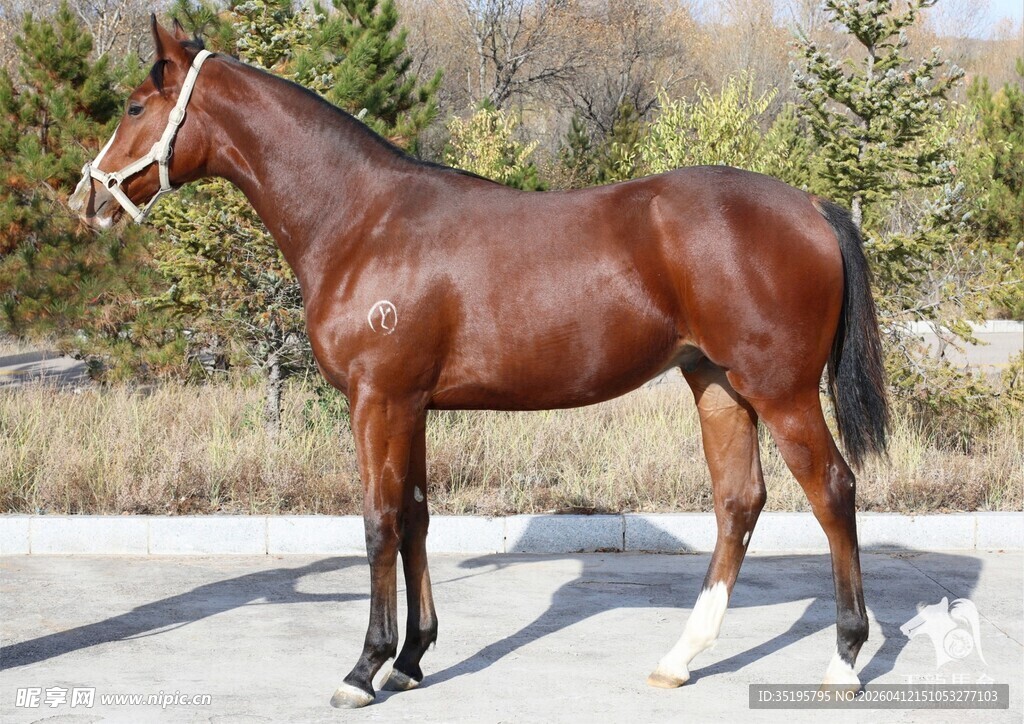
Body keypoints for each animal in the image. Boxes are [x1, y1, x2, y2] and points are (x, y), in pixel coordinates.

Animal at [69, 18, 889, 709]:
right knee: (738, 503)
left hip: (780, 392)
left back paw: (844, 660)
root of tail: (812, 207)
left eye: (136, 106)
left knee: (833, 491)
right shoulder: (411, 405)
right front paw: (411, 659)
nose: (87, 200)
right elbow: (416, 517)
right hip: (716, 384)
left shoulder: (377, 400)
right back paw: (680, 658)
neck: (362, 219)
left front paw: (364, 669)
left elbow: (378, 520)